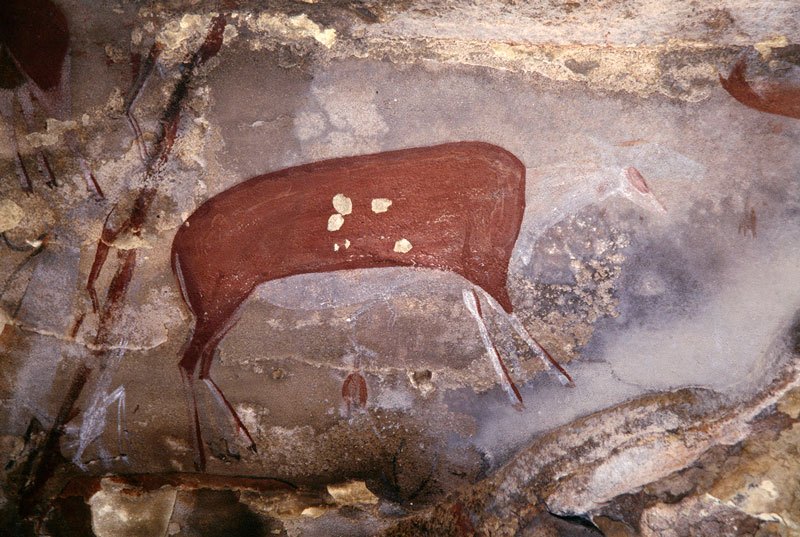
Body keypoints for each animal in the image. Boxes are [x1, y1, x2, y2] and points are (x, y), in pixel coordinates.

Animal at [172, 141, 663, 470]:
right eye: (640, 178)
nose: (658, 203)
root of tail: (176, 245)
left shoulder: (461, 275)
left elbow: (482, 315)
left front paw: (517, 392)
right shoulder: (484, 262)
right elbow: (509, 314)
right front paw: (559, 377)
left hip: (231, 302)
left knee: (203, 363)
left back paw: (245, 440)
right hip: (220, 296)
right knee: (186, 362)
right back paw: (200, 456)